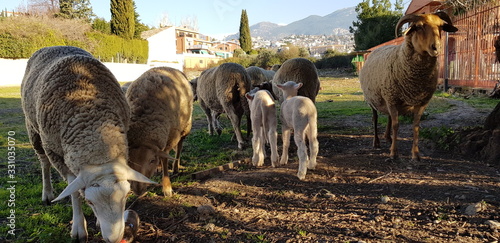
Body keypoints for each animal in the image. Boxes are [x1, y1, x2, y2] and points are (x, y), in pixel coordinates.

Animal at [20, 46, 155, 243]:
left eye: (126, 196)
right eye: (90, 202)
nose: (114, 239)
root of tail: (55, 46)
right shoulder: (58, 154)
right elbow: (74, 191)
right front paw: (78, 228)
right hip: (35, 131)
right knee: (44, 162)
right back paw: (47, 193)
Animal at [125, 67, 193, 197]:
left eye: (151, 160)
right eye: (129, 162)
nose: (138, 191)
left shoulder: (170, 137)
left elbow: (165, 159)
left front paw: (167, 188)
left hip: (185, 126)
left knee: (179, 147)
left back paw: (175, 167)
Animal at [360, 11, 458, 161]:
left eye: (441, 26)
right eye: (419, 27)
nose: (436, 48)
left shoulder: (421, 102)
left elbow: (415, 126)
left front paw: (416, 154)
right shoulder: (392, 99)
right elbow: (396, 125)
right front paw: (394, 153)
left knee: (388, 117)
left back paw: (388, 138)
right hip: (373, 99)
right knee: (375, 118)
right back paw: (376, 142)